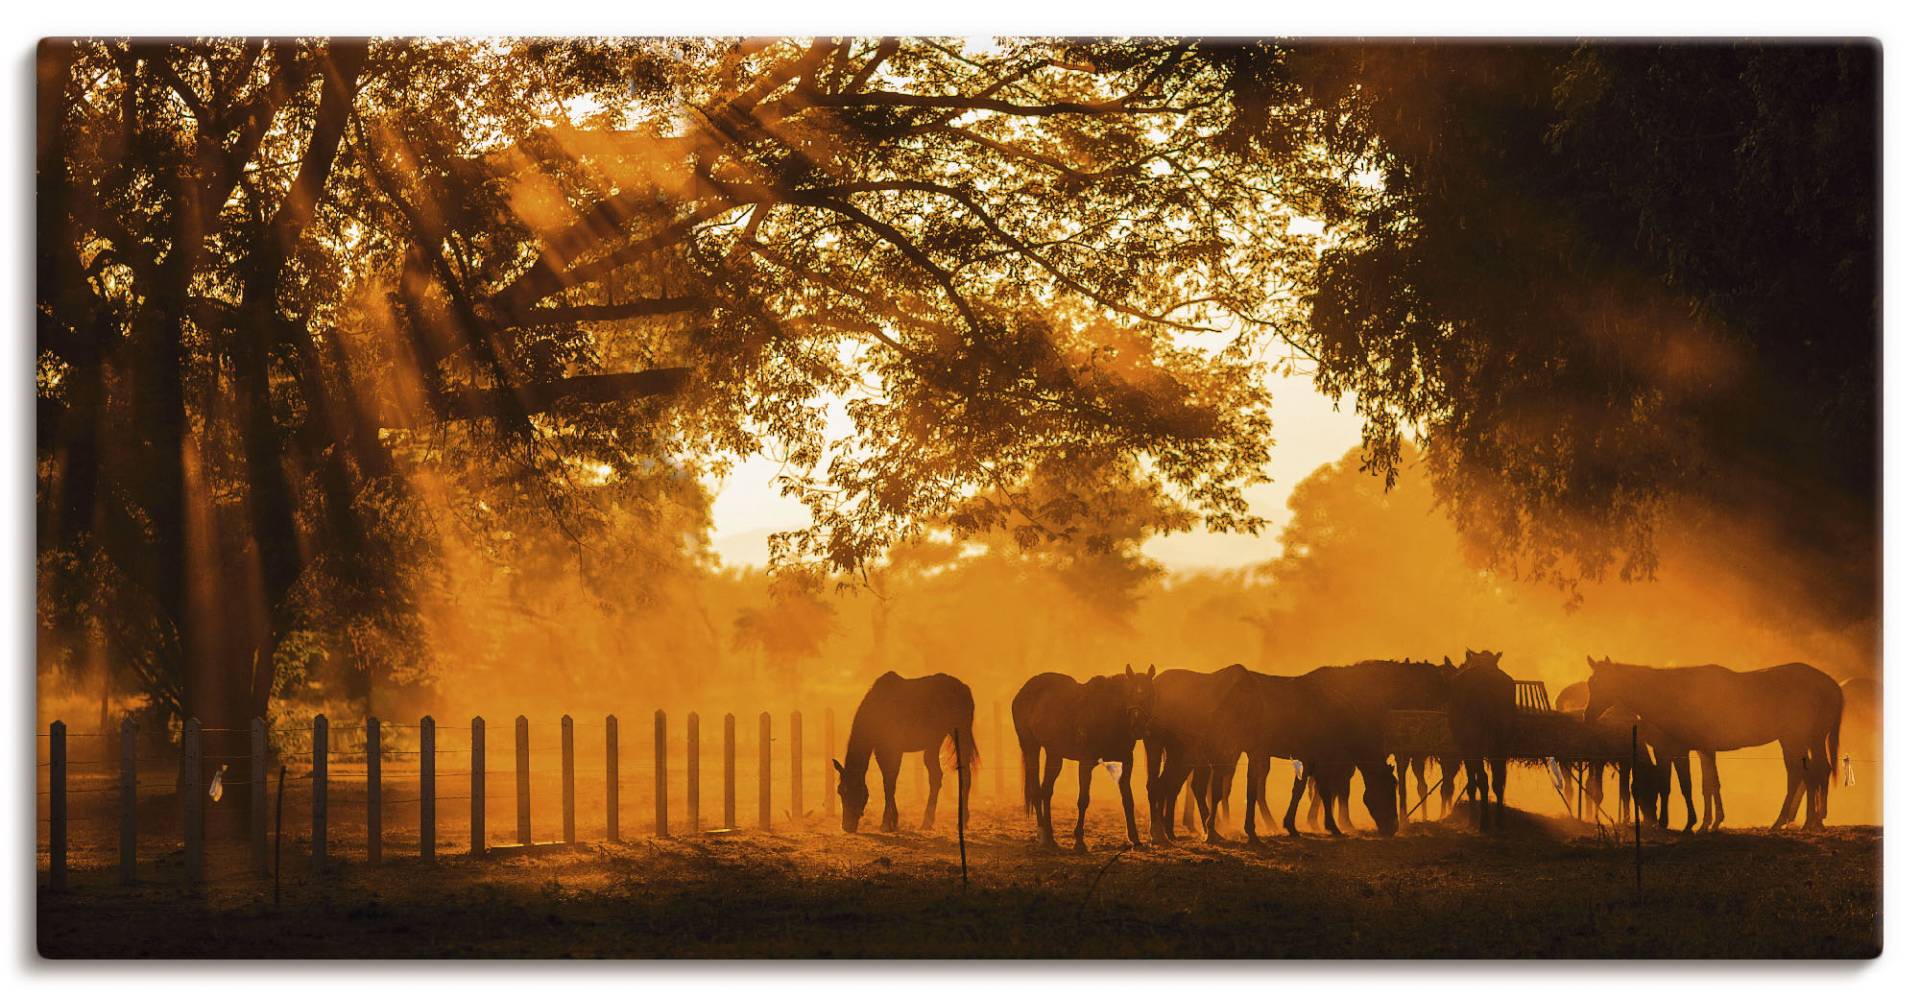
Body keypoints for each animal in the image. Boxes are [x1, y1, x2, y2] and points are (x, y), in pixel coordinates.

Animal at [829, 671, 975, 832]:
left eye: (856, 791)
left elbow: (890, 784)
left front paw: (887, 823)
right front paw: (893, 821)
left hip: (960, 733)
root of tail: (965, 688)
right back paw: (927, 822)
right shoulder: (880, 751)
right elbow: (888, 782)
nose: (846, 826)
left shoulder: (893, 750)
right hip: (934, 743)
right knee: (936, 776)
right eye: (840, 791)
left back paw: (962, 820)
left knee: (964, 774)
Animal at [1013, 667, 1159, 852]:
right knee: (1036, 791)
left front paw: (1135, 839)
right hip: (1030, 747)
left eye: (1151, 694)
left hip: (1054, 754)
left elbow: (1128, 799)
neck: (1109, 714)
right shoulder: (1086, 763)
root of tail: (1022, 692)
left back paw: (1050, 837)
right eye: (1130, 692)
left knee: (1046, 791)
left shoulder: (1126, 762)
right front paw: (1079, 841)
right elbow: (1083, 800)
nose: (1138, 727)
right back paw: (1043, 834)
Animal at [1451, 652, 1512, 829]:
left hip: (1475, 744)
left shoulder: (1465, 748)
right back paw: (1498, 822)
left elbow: (1472, 783)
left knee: (1483, 780)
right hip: (1501, 744)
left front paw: (1471, 819)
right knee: (1499, 781)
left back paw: (1483, 822)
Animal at [1589, 656, 1843, 832]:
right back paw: (1813, 820)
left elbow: (1688, 785)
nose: (1588, 714)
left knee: (1800, 774)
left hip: (1793, 739)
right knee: (1816, 771)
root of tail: (1831, 685)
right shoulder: (1703, 749)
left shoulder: (1682, 750)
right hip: (1811, 739)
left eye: (1600, 684)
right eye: (1591, 683)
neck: (1674, 696)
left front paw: (1691, 823)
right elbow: (1709, 785)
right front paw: (1709, 822)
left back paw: (1786, 821)